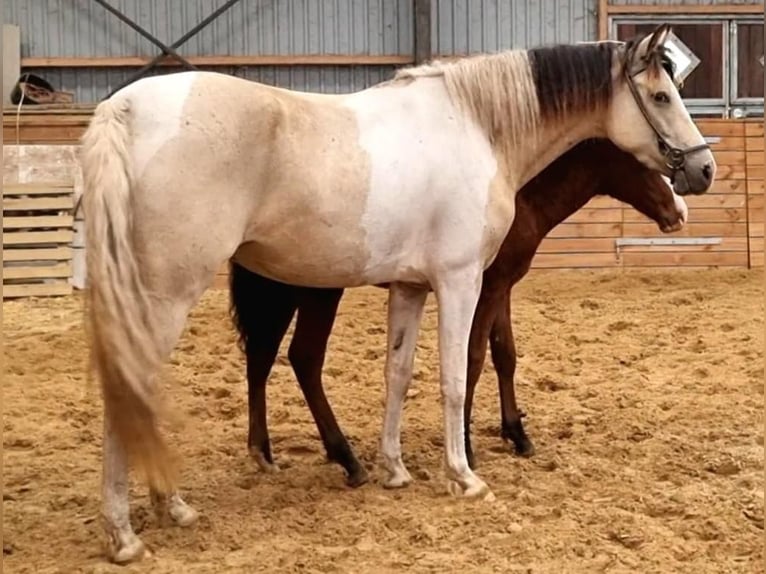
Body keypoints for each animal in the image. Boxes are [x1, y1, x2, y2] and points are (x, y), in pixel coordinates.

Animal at [232, 136, 688, 490]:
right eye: (647, 159)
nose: (679, 212)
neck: (517, 190)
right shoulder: (480, 289)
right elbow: (473, 358)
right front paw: (466, 447)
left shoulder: (500, 287)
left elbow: (505, 354)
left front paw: (516, 434)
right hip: (318, 291)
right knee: (304, 358)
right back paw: (346, 458)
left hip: (281, 287)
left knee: (260, 357)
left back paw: (265, 452)